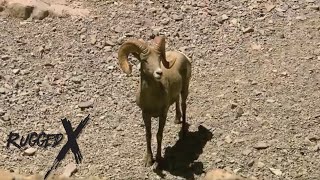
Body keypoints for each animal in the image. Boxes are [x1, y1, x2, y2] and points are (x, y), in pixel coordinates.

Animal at [118, 35, 191, 167]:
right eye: (144, 60)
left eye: (159, 58)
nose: (159, 73)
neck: (152, 100)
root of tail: (182, 56)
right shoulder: (145, 114)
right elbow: (148, 135)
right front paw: (148, 160)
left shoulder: (163, 114)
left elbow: (159, 135)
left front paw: (158, 159)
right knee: (177, 101)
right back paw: (177, 119)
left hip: (185, 89)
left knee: (184, 106)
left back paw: (183, 133)